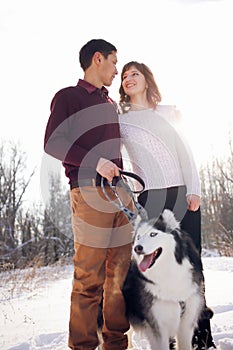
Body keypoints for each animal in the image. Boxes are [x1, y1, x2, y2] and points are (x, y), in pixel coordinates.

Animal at [123, 209, 205, 350]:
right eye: (138, 237)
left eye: (153, 234)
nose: (137, 248)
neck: (169, 271)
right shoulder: (157, 326)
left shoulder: (186, 324)